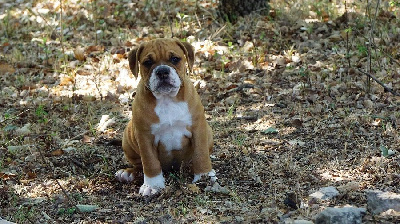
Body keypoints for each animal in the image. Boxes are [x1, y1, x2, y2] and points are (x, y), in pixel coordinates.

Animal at [114, 38, 217, 196]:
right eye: (147, 62)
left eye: (175, 59)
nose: (162, 71)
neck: (167, 99)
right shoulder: (144, 137)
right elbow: (150, 162)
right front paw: (153, 185)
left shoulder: (198, 129)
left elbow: (201, 154)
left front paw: (204, 176)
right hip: (127, 138)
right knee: (139, 165)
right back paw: (128, 173)